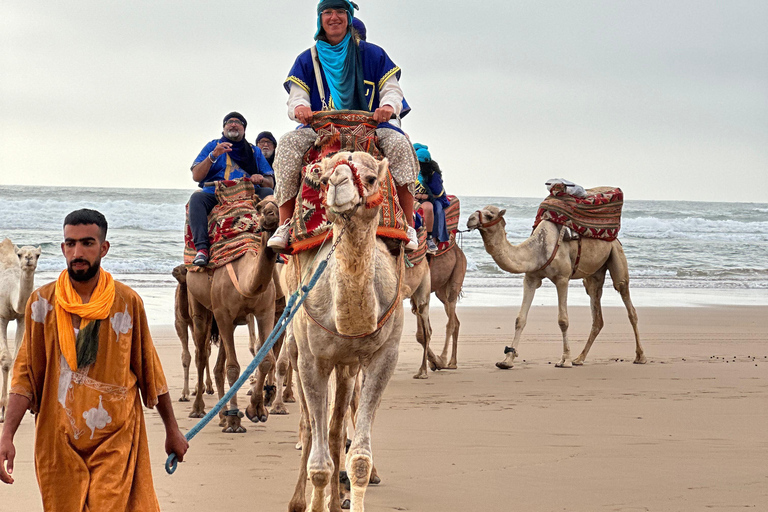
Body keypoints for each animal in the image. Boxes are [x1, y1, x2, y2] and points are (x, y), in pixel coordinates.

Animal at [184, 192, 280, 432]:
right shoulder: (222, 314)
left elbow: (265, 359)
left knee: (218, 366)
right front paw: (237, 420)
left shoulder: (265, 311)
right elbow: (234, 369)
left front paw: (256, 410)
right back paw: (198, 409)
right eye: (260, 206)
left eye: (279, 202)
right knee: (201, 355)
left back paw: (222, 416)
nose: (272, 214)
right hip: (198, 303)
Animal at [284, 151, 404, 512]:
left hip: (348, 366)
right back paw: (299, 502)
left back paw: (337, 501)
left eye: (371, 178)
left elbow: (360, 459)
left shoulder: (383, 356)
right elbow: (319, 463)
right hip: (295, 350)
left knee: (336, 430)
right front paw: (313, 504)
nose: (337, 181)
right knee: (311, 427)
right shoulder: (312, 360)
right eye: (323, 179)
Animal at [464, 206, 644, 370]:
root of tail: (615, 239)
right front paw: (507, 361)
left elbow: (563, 320)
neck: (538, 249)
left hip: (617, 256)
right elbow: (520, 319)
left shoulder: (562, 278)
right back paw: (579, 359)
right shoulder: (531, 278)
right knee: (597, 312)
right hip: (593, 275)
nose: (470, 219)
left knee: (629, 304)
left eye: (489, 215)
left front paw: (565, 360)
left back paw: (640, 357)